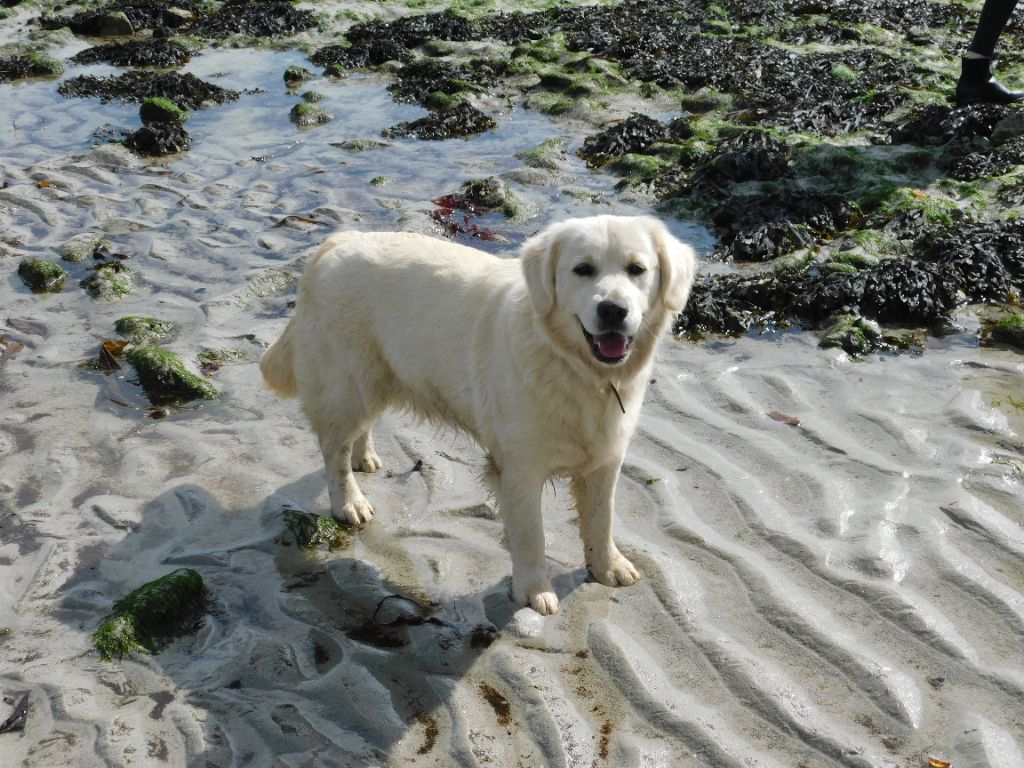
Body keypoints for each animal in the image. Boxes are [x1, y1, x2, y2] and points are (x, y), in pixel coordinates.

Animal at [260, 214, 700, 618]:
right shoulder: (520, 468)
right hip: (348, 383)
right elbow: (531, 535)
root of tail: (337, 241)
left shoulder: (606, 457)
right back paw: (349, 502)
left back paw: (363, 457)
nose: (612, 310)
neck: (577, 370)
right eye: (583, 269)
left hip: (376, 377)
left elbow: (601, 518)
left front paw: (607, 566)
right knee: (333, 449)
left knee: (358, 431)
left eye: (637, 269)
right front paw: (534, 590)